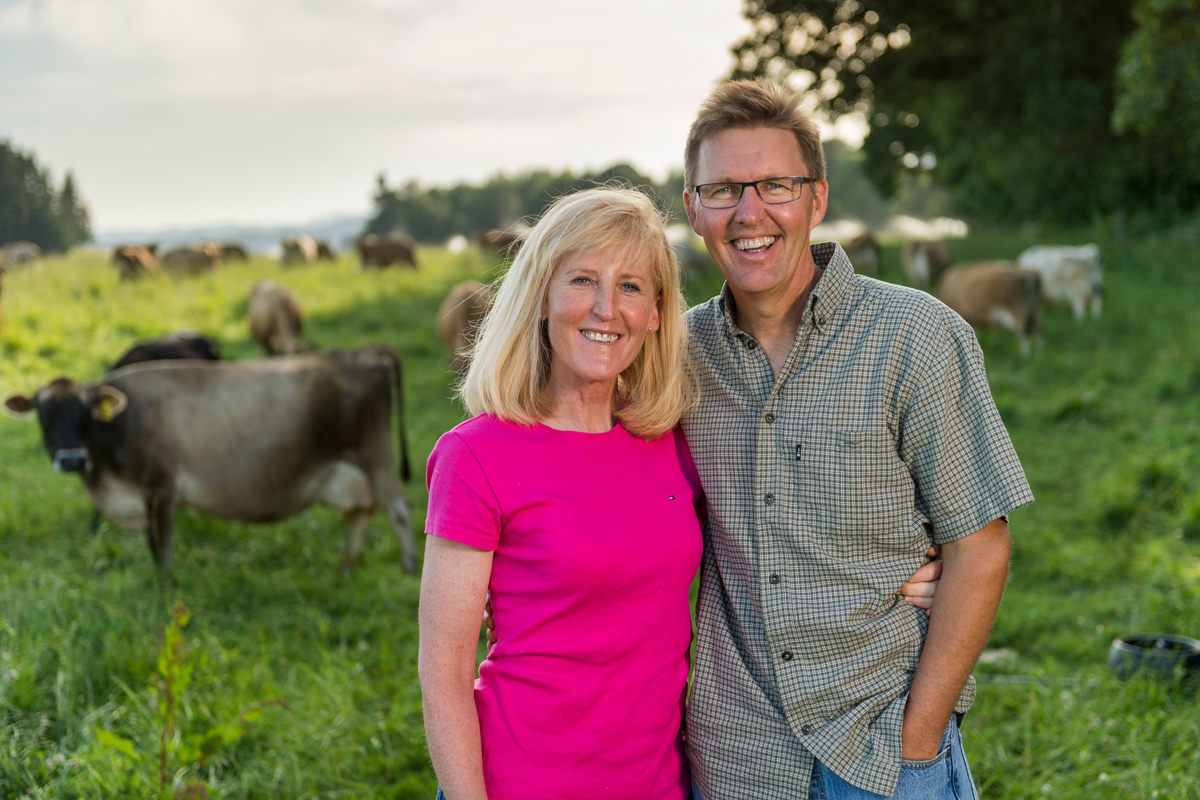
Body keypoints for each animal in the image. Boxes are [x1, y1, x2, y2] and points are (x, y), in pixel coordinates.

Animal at [4, 347, 417, 578]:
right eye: (43, 415)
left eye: (85, 415)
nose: (72, 458)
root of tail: (365, 356)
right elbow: (152, 544)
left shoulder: (161, 490)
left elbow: (163, 546)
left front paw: (164, 588)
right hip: (346, 471)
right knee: (360, 510)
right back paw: (347, 565)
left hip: (375, 455)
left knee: (398, 508)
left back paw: (409, 567)